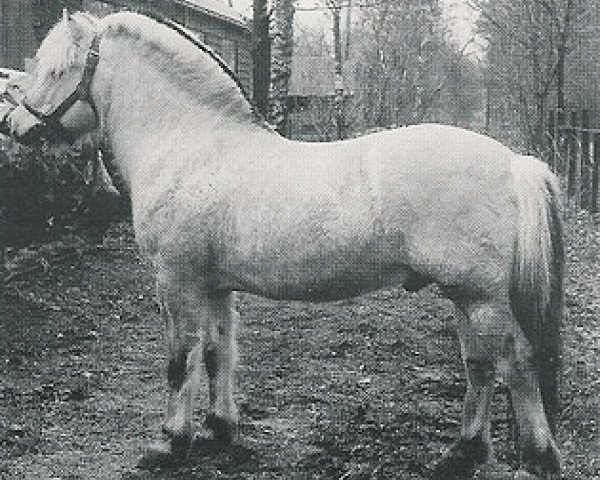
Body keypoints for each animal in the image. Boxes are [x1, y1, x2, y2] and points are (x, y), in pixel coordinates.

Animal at [2, 10, 564, 476]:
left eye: (56, 70)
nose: (15, 123)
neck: (192, 145)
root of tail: (513, 162)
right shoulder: (215, 286)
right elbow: (218, 352)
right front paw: (221, 430)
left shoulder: (177, 283)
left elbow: (180, 360)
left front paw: (169, 442)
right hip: (465, 297)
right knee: (480, 364)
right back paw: (463, 452)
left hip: (480, 298)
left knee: (515, 361)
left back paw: (538, 457)